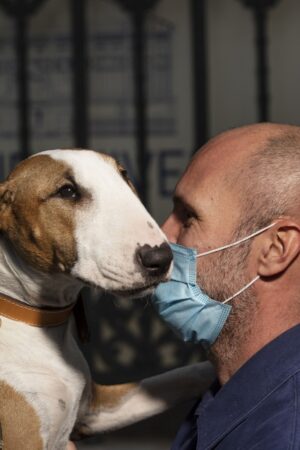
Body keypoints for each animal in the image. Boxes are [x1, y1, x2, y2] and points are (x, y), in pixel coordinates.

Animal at [0, 150, 214, 450]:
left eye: (124, 176)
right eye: (67, 191)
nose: (160, 259)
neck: (38, 321)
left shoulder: (93, 410)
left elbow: (178, 378)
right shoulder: (25, 440)